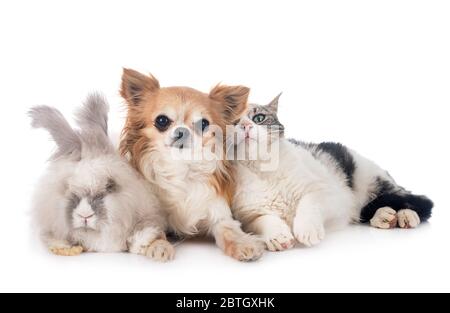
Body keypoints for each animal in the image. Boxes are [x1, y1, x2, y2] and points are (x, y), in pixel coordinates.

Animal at [29, 92, 175, 260]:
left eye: (110, 186)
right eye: (67, 187)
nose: (85, 215)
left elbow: (149, 234)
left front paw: (158, 250)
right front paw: (65, 248)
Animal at [119, 69, 264, 260]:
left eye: (203, 124)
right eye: (162, 121)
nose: (182, 131)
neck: (181, 167)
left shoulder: (218, 213)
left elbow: (229, 230)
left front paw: (243, 244)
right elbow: (151, 229)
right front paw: (157, 245)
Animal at [230, 94, 434, 250]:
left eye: (259, 118)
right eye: (233, 122)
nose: (245, 126)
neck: (263, 170)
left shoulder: (329, 193)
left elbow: (310, 201)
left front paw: (307, 229)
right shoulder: (246, 215)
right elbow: (262, 220)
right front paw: (277, 236)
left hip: (373, 179)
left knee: (410, 198)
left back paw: (405, 215)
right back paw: (384, 216)